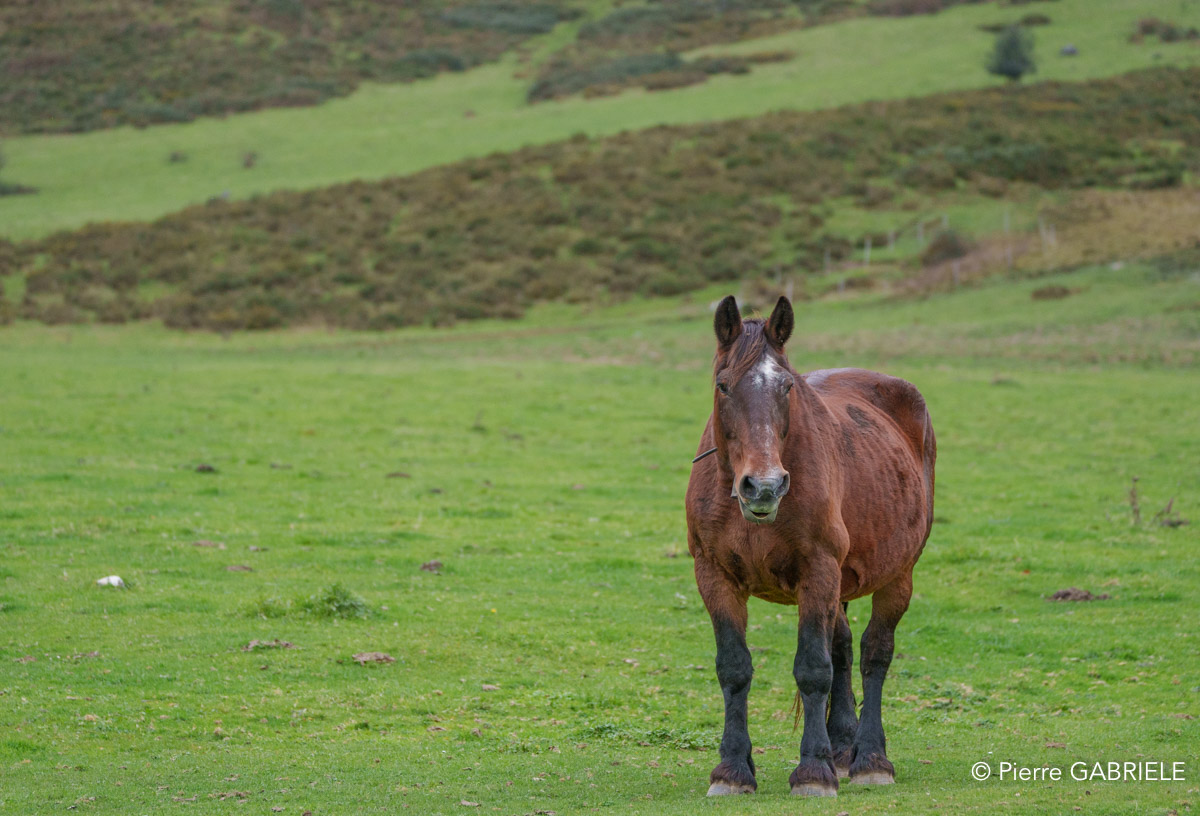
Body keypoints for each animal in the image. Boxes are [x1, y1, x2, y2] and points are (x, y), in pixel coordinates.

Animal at [685, 295, 936, 797]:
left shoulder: (817, 570)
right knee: (842, 647)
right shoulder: (714, 575)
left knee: (874, 653)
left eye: (786, 387)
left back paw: (870, 758)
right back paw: (842, 747)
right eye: (723, 385)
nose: (763, 486)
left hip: (897, 575)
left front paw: (813, 771)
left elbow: (813, 669)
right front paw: (732, 770)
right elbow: (734, 668)